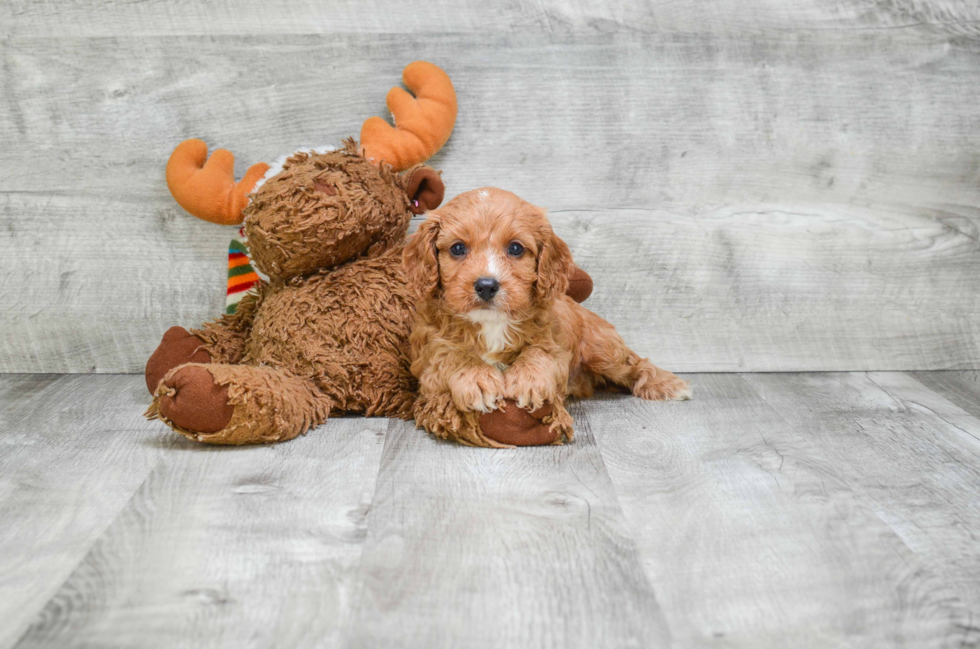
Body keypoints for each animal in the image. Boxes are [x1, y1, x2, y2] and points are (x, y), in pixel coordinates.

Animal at [400, 185, 688, 442]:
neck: (492, 323)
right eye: (458, 248)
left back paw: (668, 384)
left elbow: (539, 352)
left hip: (602, 349)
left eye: (516, 248)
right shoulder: (426, 358)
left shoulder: (555, 341)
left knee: (635, 364)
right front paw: (478, 378)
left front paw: (528, 379)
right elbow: (450, 354)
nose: (486, 285)